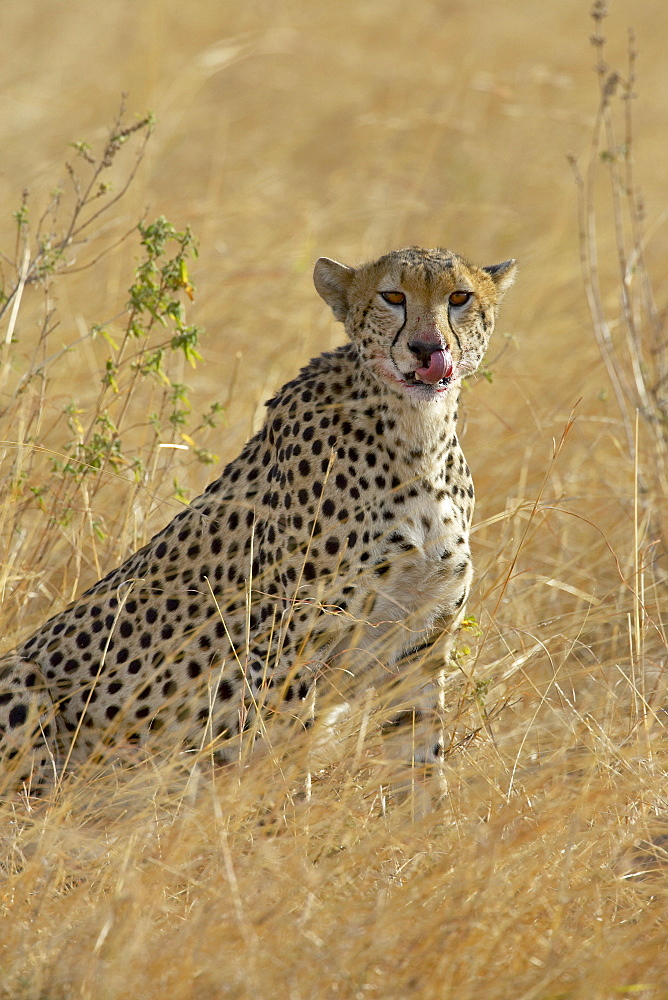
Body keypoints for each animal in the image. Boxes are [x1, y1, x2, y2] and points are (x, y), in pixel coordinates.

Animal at [0, 246, 516, 792]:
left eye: (458, 297)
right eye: (392, 296)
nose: (427, 349)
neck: (416, 438)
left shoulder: (418, 651)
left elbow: (422, 777)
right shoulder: (284, 656)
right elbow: (285, 776)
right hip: (22, 676)